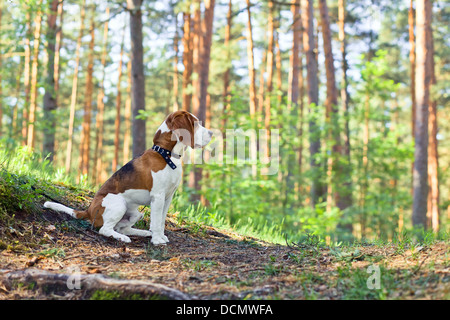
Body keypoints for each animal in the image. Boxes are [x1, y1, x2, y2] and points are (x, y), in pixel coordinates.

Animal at [44, 110, 214, 245]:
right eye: (195, 124)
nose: (212, 133)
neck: (166, 155)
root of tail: (89, 210)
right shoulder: (158, 197)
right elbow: (156, 221)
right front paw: (157, 240)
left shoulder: (168, 197)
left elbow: (161, 221)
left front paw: (160, 236)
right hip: (119, 204)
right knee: (105, 229)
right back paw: (123, 238)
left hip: (136, 212)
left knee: (122, 228)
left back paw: (142, 233)